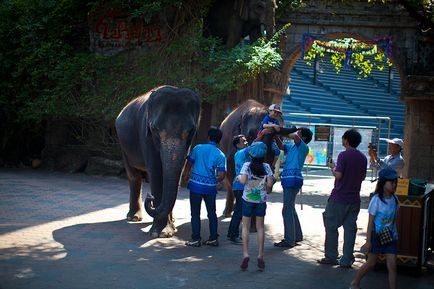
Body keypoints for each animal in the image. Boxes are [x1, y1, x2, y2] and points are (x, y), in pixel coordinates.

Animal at [116, 85, 203, 236]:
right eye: (155, 129)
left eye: (191, 130)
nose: (150, 197)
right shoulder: (145, 135)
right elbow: (156, 171)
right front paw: (160, 233)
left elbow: (177, 173)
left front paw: (169, 230)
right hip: (123, 146)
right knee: (134, 176)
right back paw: (133, 218)